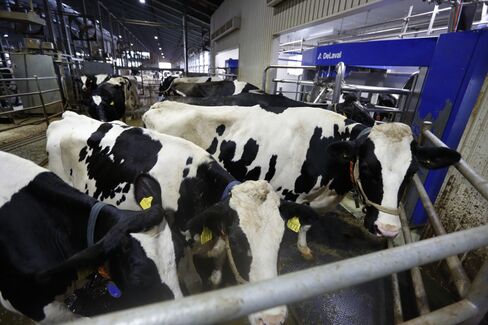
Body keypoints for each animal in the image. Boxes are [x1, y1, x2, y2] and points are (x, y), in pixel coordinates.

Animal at [45, 112, 316, 324]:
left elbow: (218, 265)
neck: (196, 185)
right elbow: (194, 283)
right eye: (239, 241)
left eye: (280, 240)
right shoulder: (179, 246)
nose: (272, 318)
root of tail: (67, 116)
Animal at [142, 101, 462, 248]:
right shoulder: (287, 194)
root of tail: (160, 104)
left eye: (412, 172)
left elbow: (307, 224)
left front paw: (305, 246)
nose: (388, 230)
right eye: (369, 168)